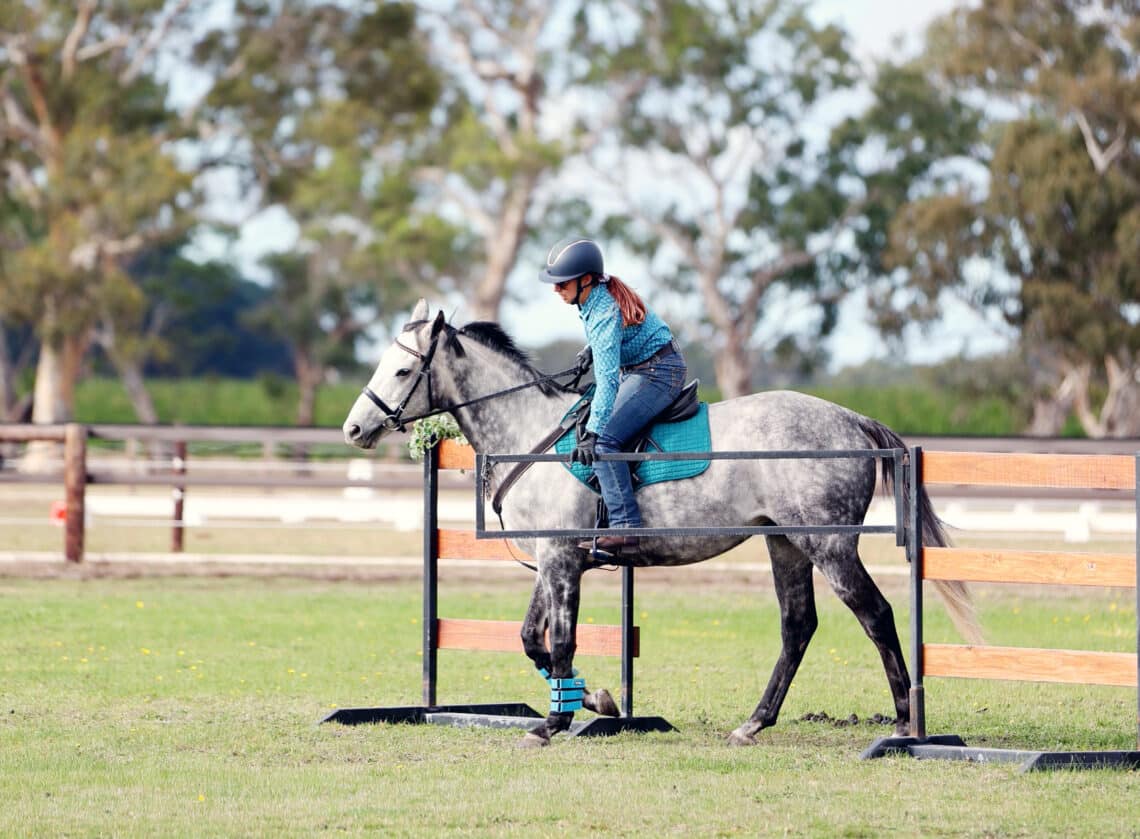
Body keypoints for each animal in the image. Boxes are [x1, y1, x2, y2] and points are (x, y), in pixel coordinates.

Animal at [342, 300, 975, 747]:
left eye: (402, 369)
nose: (353, 429)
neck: (529, 433)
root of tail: (850, 419)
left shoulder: (562, 560)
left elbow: (560, 641)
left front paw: (557, 722)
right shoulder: (549, 560)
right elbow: (530, 640)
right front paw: (594, 700)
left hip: (829, 546)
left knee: (876, 614)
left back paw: (903, 725)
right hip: (786, 544)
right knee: (798, 626)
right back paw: (753, 723)